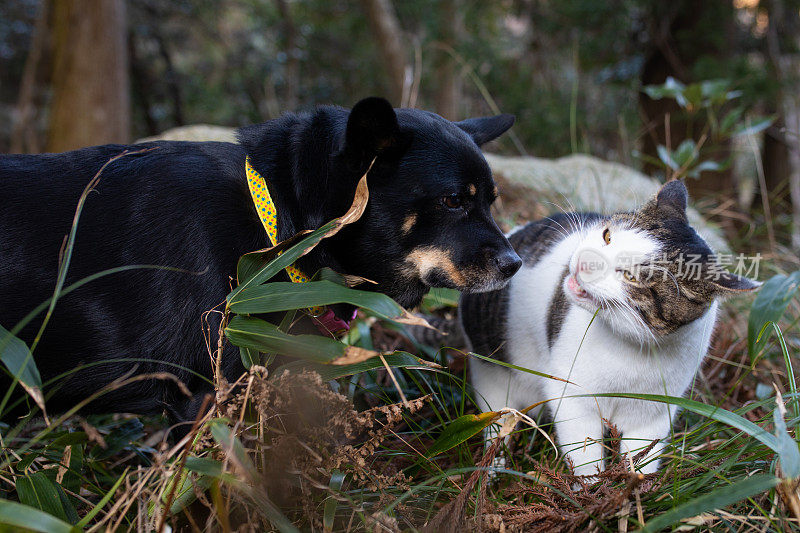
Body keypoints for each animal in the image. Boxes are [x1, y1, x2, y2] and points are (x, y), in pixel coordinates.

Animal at [460, 181, 760, 476]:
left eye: (630, 276)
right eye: (607, 236)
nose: (584, 262)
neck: (632, 350)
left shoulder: (654, 412)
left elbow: (640, 461)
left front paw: (631, 486)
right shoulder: (572, 396)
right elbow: (585, 457)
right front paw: (591, 486)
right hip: (493, 376)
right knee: (496, 421)